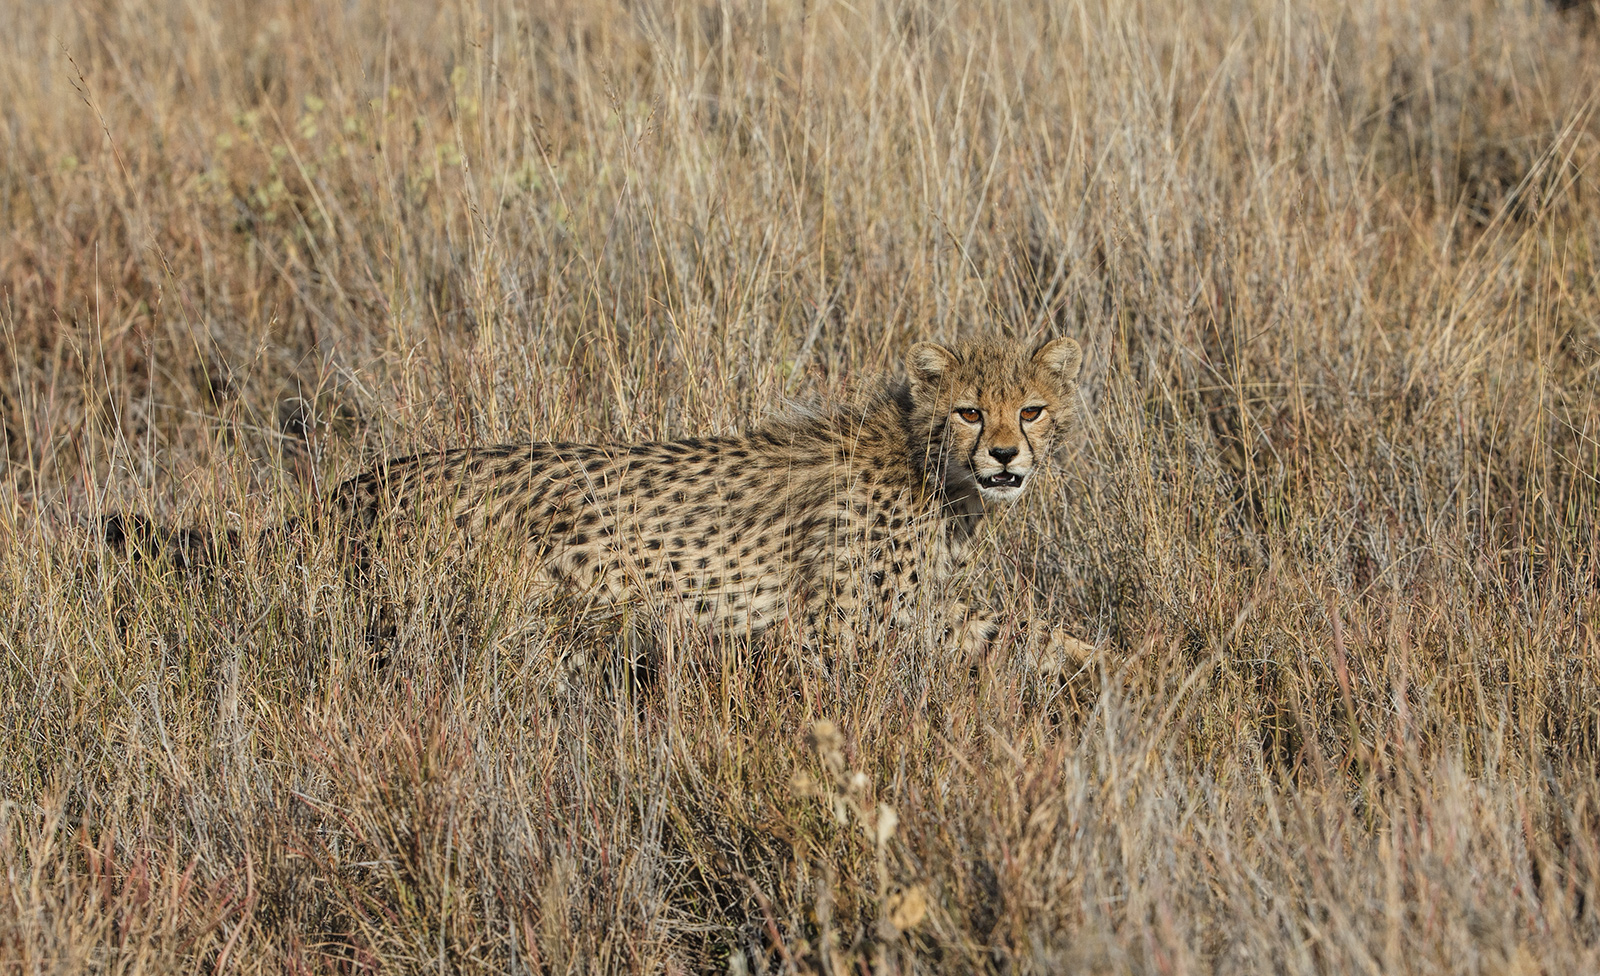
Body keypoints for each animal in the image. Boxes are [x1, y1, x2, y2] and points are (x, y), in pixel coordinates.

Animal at [108, 336, 1096, 668]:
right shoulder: (839, 632)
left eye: (1032, 409)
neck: (936, 474)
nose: (1006, 454)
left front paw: (1115, 669)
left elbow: (1029, 632)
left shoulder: (928, 612)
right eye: (969, 409)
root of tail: (371, 477)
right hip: (481, 614)